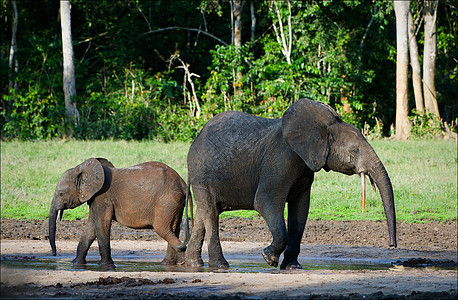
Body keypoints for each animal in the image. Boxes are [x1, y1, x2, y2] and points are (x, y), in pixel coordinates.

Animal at [47, 157, 188, 270]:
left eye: (61, 194)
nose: (54, 254)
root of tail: (183, 183)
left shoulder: (103, 197)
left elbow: (101, 224)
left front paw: (106, 267)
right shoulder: (95, 198)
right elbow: (90, 229)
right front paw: (76, 264)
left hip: (167, 202)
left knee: (163, 228)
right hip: (175, 204)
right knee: (173, 229)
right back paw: (167, 264)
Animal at [184, 98, 396, 270]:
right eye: (354, 151)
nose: (392, 246)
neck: (324, 126)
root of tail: (196, 139)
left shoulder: (304, 168)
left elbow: (301, 210)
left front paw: (293, 267)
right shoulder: (280, 160)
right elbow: (265, 202)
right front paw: (268, 258)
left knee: (204, 214)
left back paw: (194, 264)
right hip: (201, 172)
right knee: (211, 213)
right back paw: (220, 266)